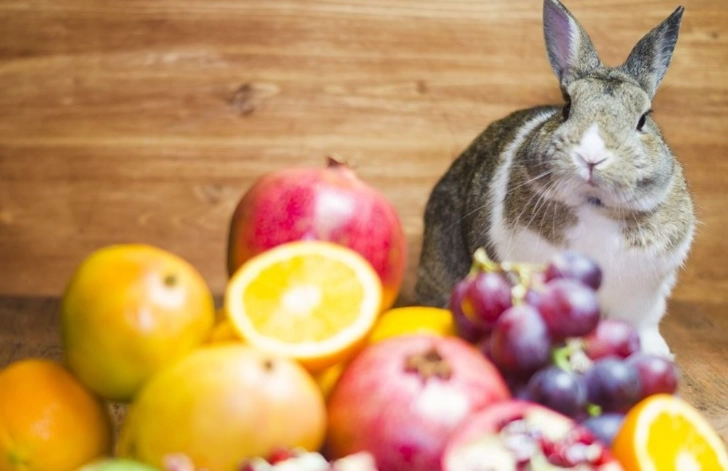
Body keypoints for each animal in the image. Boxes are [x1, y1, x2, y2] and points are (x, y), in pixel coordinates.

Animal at [415, 0, 696, 358]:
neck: (595, 207)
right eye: (566, 108)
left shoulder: (645, 295)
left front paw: (657, 354)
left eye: (643, 119)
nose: (591, 156)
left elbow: (643, 325)